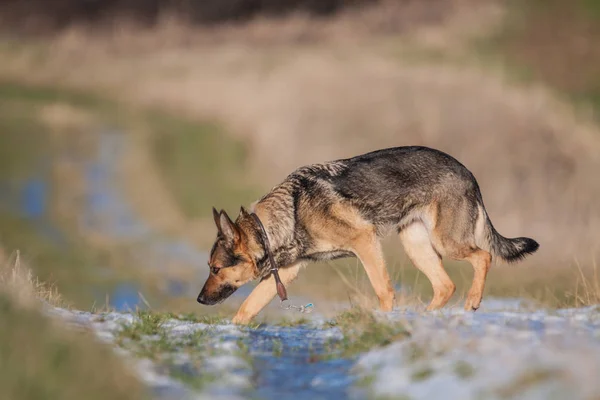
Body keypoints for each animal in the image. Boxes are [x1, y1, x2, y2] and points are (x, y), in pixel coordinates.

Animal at [197, 145, 540, 324]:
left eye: (215, 269)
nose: (199, 300)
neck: (283, 218)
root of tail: (468, 173)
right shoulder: (287, 272)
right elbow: (248, 306)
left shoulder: (365, 242)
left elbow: (383, 290)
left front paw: (384, 319)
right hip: (416, 245)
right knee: (445, 285)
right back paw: (425, 317)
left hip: (447, 243)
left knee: (483, 256)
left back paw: (472, 302)